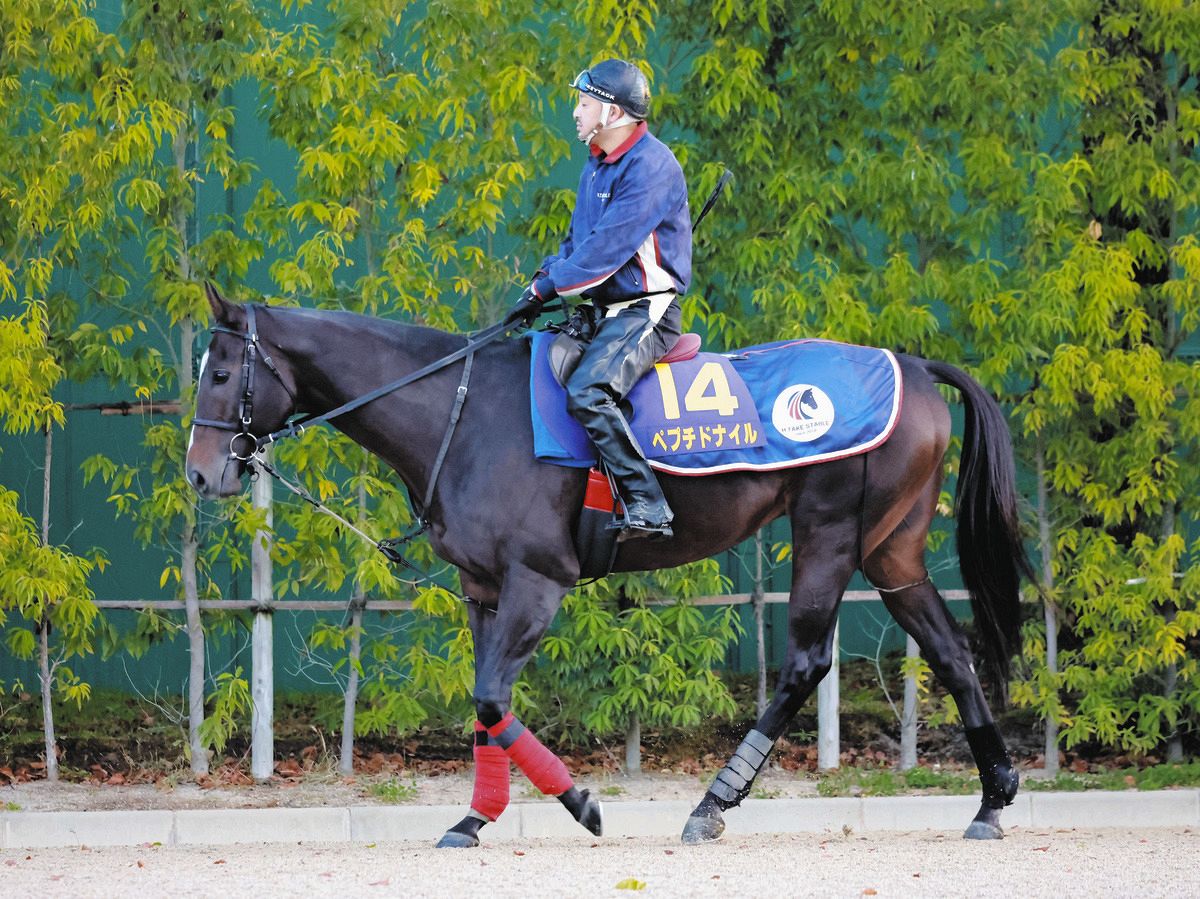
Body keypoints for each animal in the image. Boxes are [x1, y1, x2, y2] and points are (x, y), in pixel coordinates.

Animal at [186, 283, 1033, 847]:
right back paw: (992, 800)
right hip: (892, 549)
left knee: (804, 662)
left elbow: (492, 697)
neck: (464, 412)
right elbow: (483, 703)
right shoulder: (482, 589)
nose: (201, 473)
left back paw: (713, 802)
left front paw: (580, 801)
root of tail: (912, 368)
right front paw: (475, 816)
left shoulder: (536, 581)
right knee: (951, 652)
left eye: (221, 373)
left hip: (829, 529)